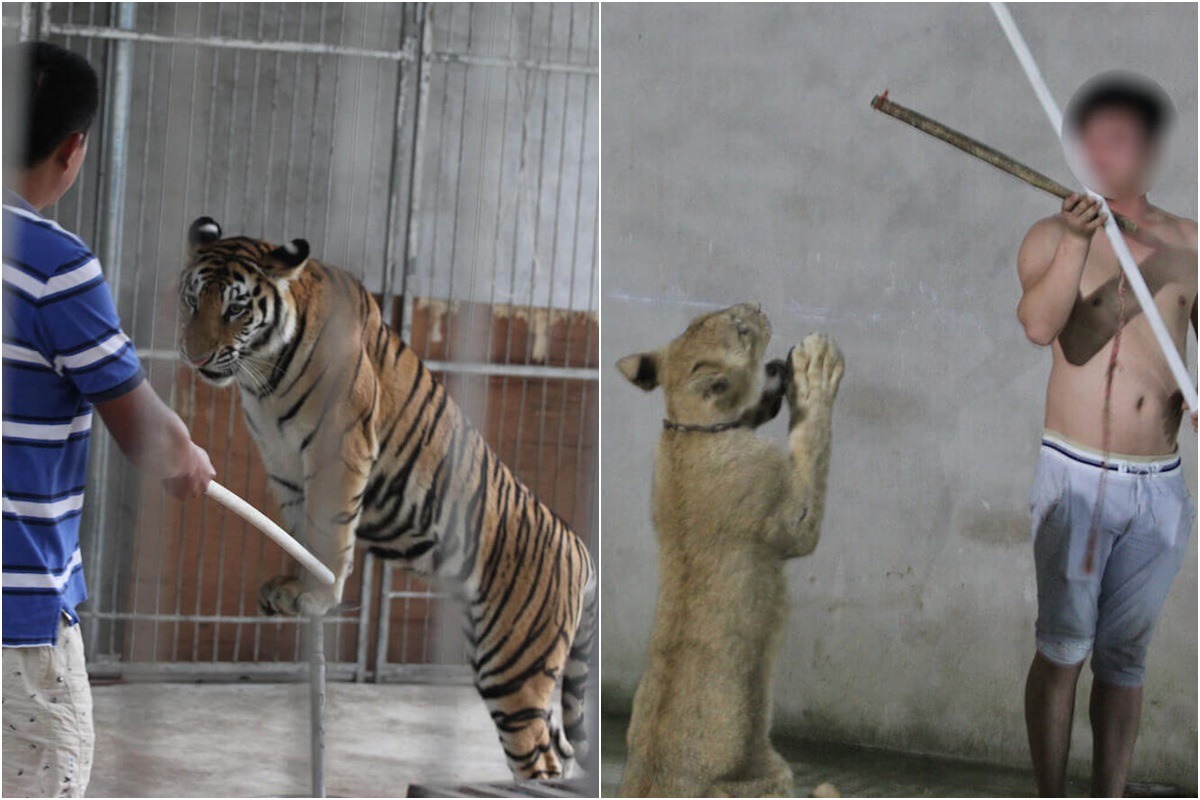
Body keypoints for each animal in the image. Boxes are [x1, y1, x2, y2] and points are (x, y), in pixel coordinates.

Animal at [176, 216, 596, 780]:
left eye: (237, 309)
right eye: (191, 300)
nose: (194, 355)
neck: (263, 377)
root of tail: (580, 548)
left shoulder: (341, 447)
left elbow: (330, 530)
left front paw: (318, 594)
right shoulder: (284, 465)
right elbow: (299, 527)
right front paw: (294, 585)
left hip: (516, 668)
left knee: (540, 759)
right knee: (559, 751)